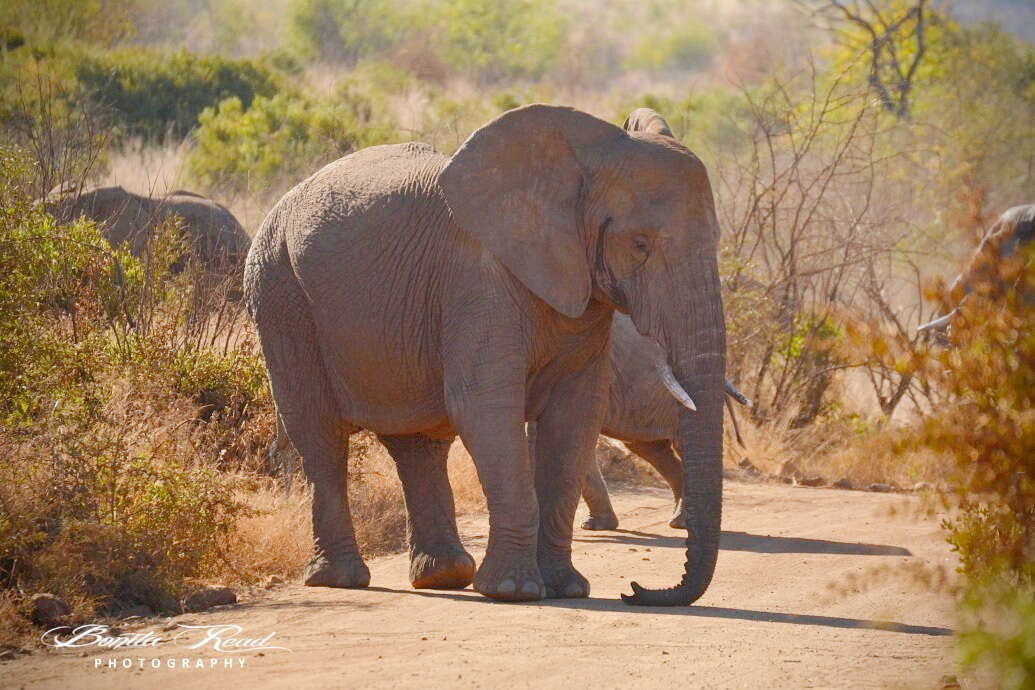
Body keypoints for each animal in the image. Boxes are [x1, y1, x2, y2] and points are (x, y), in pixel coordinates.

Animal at [244, 102, 728, 604]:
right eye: (640, 244)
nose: (634, 589)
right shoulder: (478, 283)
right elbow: (486, 410)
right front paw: (515, 590)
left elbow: (576, 416)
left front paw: (566, 587)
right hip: (279, 290)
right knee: (319, 434)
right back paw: (342, 579)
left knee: (418, 441)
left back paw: (443, 576)